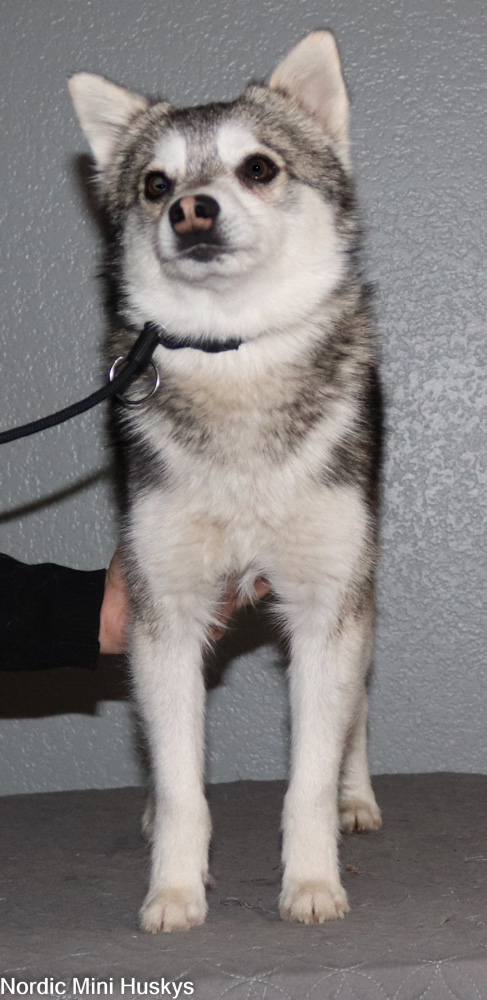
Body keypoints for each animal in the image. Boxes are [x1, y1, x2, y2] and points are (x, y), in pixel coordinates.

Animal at [69, 30, 382, 932]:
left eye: (258, 168)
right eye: (154, 184)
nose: (191, 210)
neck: (235, 358)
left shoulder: (327, 607)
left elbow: (307, 777)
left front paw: (312, 881)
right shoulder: (164, 612)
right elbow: (182, 785)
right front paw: (174, 889)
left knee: (354, 715)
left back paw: (357, 796)